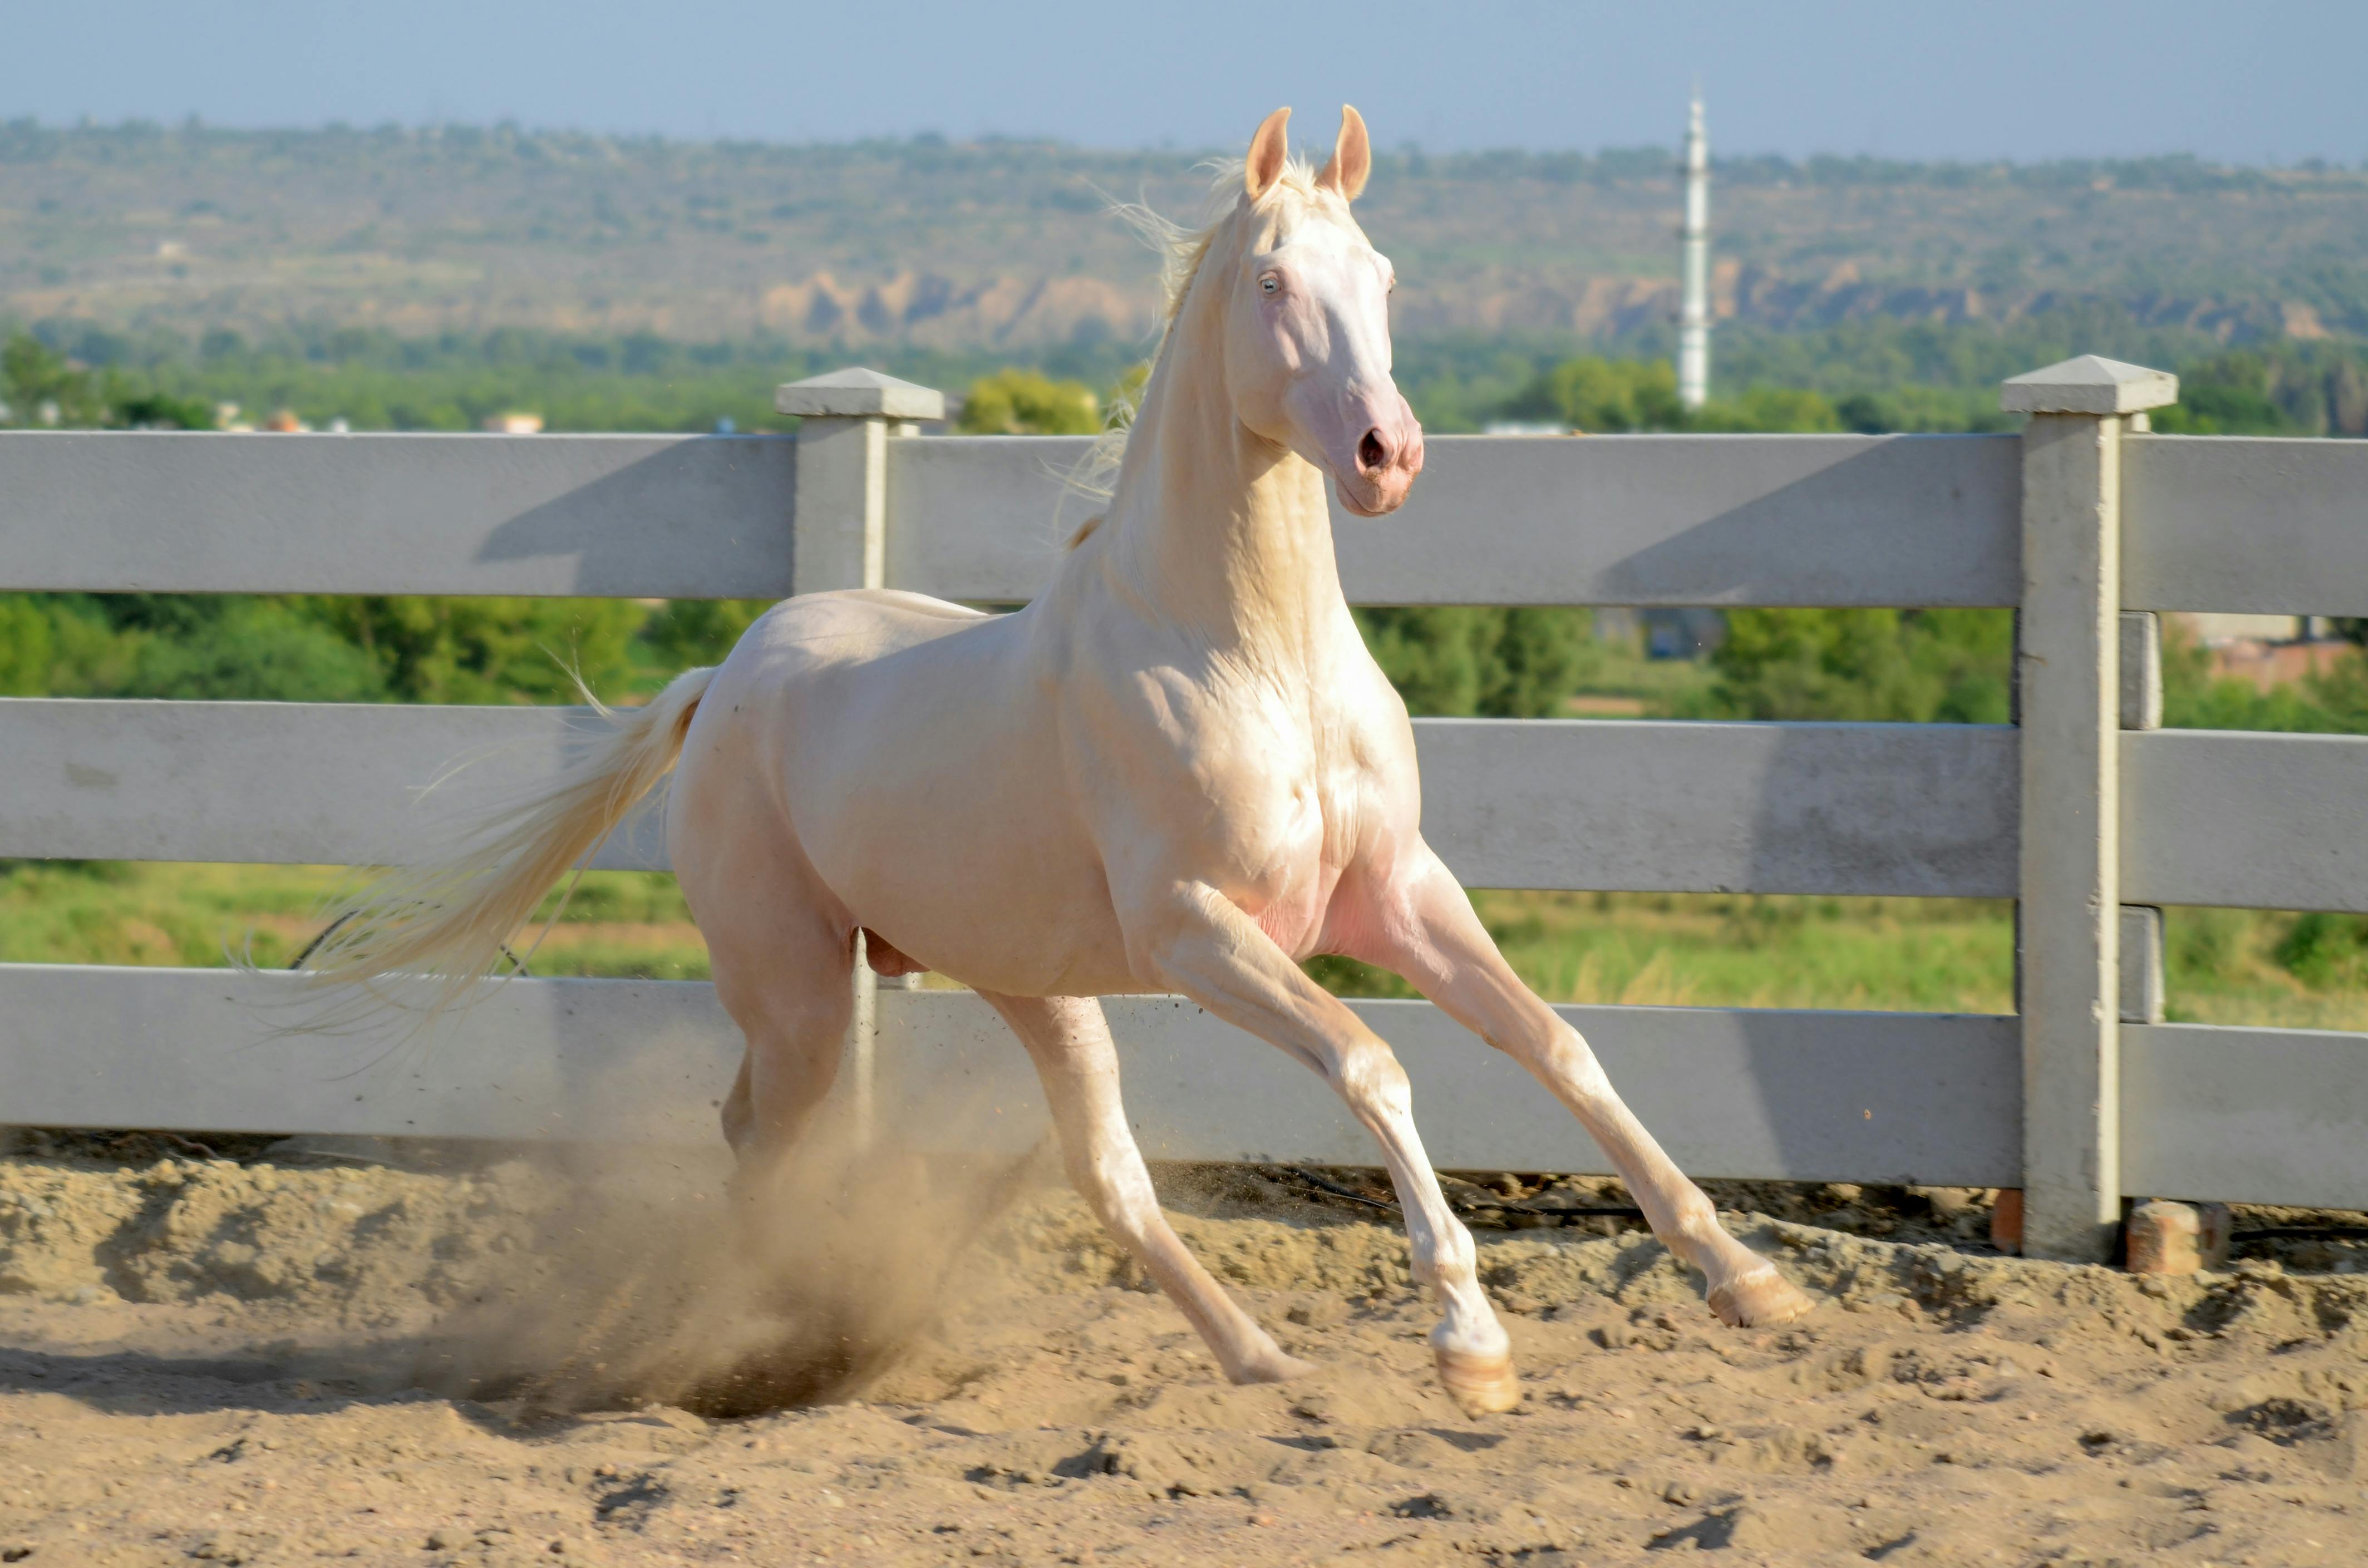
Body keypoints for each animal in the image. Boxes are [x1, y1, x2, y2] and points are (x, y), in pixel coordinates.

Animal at [308, 106, 1811, 1416]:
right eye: (1272, 278)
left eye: (1383, 276)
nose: (1387, 454)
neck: (1250, 657)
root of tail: (722, 678)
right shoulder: (1200, 931)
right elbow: (1372, 1063)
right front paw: (1471, 1343)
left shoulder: (1394, 891)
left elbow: (1555, 1043)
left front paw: (1744, 1276)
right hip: (799, 991)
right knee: (761, 1136)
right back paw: (751, 1340)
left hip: (1033, 991)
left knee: (1104, 1175)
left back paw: (1261, 1356)